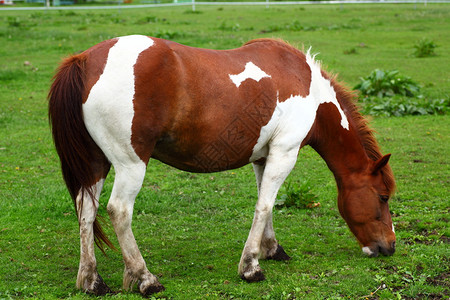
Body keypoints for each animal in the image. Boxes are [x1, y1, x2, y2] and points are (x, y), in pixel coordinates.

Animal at [47, 35, 396, 296]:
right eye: (383, 197)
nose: (390, 247)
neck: (305, 85)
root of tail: (85, 60)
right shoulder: (284, 152)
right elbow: (265, 205)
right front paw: (251, 267)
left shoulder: (264, 156)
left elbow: (267, 204)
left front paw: (271, 248)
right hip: (131, 164)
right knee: (119, 211)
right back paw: (145, 278)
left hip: (96, 165)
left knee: (86, 211)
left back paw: (92, 281)